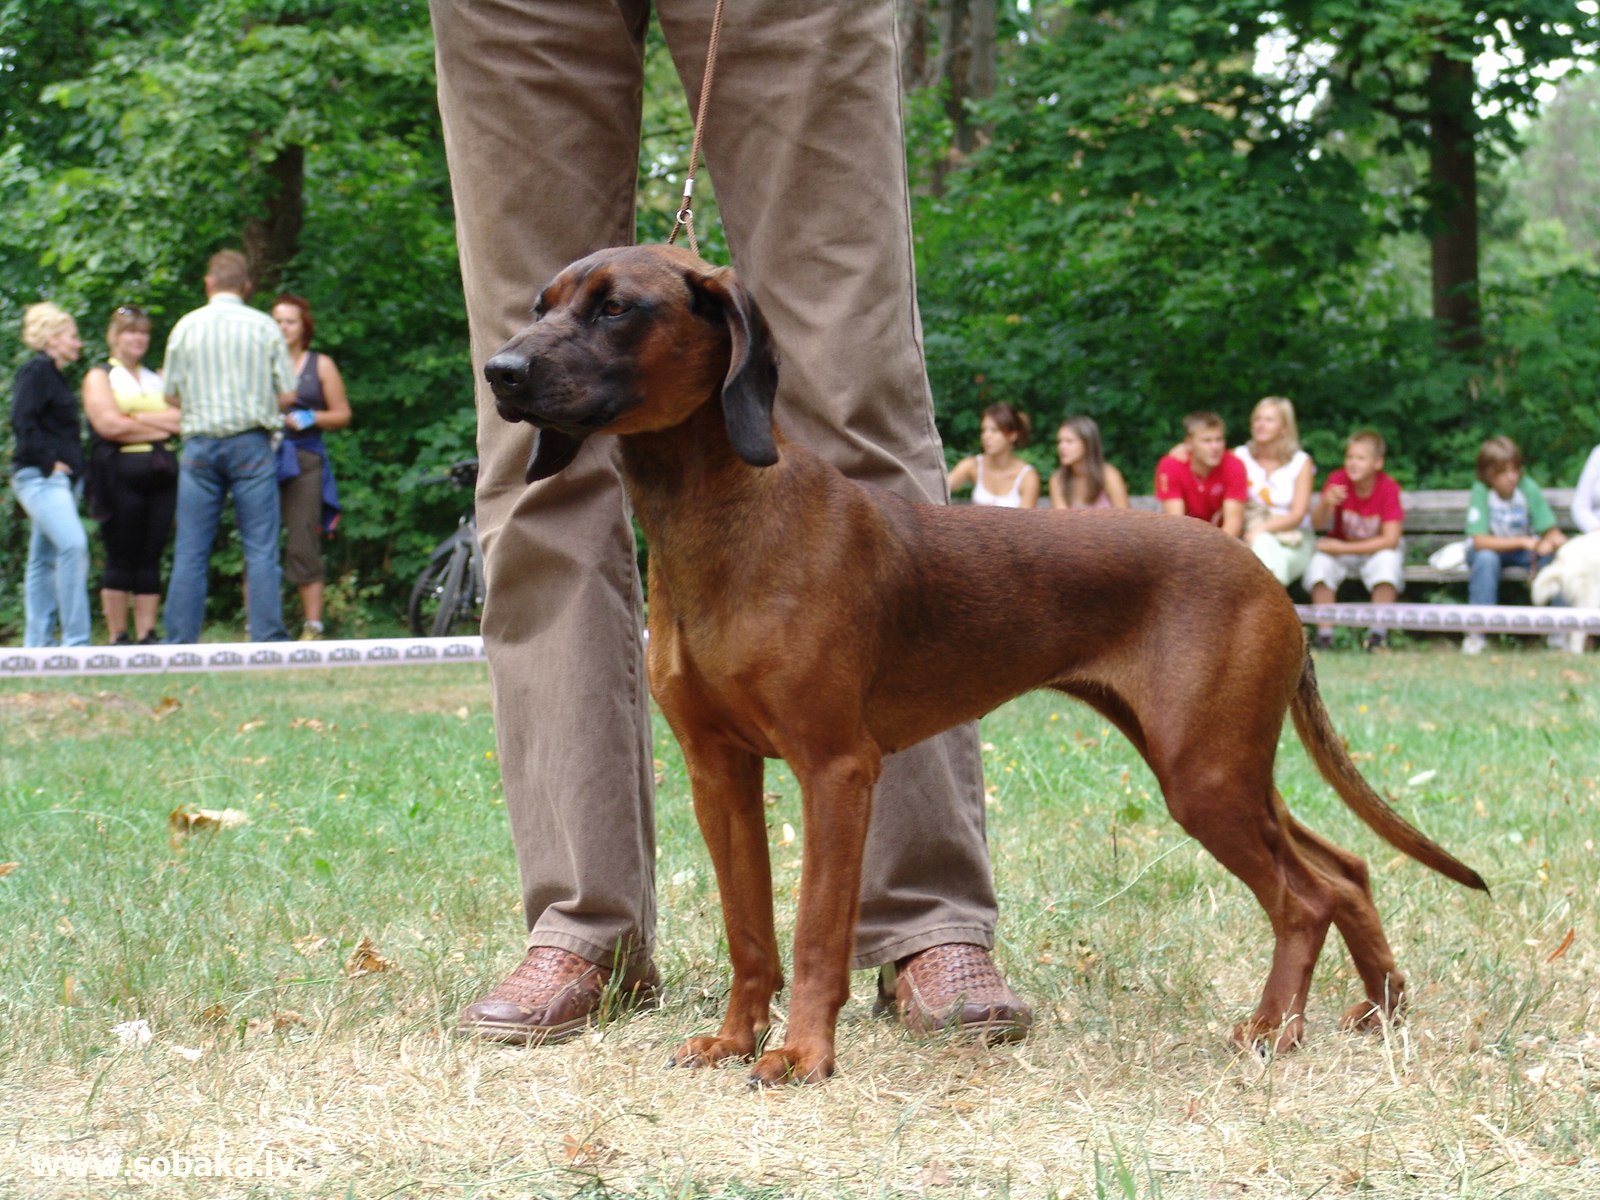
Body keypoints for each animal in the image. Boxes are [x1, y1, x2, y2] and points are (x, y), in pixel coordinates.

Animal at [483, 244, 1484, 1088]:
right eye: (540, 306)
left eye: (617, 309)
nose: (500, 372)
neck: (726, 518)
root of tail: (1269, 580)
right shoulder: (716, 771)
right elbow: (749, 931)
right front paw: (733, 1041)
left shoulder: (836, 769)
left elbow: (814, 935)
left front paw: (803, 1055)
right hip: (1223, 765)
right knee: (1347, 871)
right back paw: (1380, 1009)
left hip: (1204, 776)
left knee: (1304, 899)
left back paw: (1275, 1029)